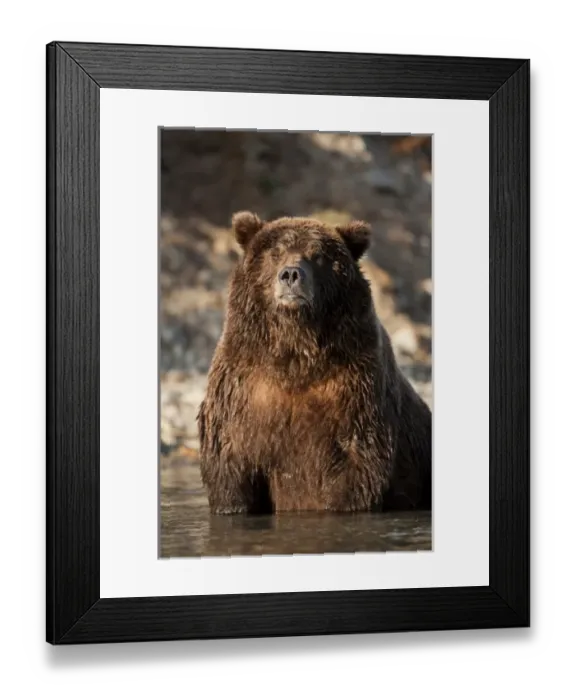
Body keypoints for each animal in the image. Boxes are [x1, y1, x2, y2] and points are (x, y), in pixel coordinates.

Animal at [197, 211, 432, 515]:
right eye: (275, 252)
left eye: (317, 255)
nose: (291, 274)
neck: (296, 353)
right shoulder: (242, 390)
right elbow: (230, 465)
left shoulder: (354, 386)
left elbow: (357, 467)